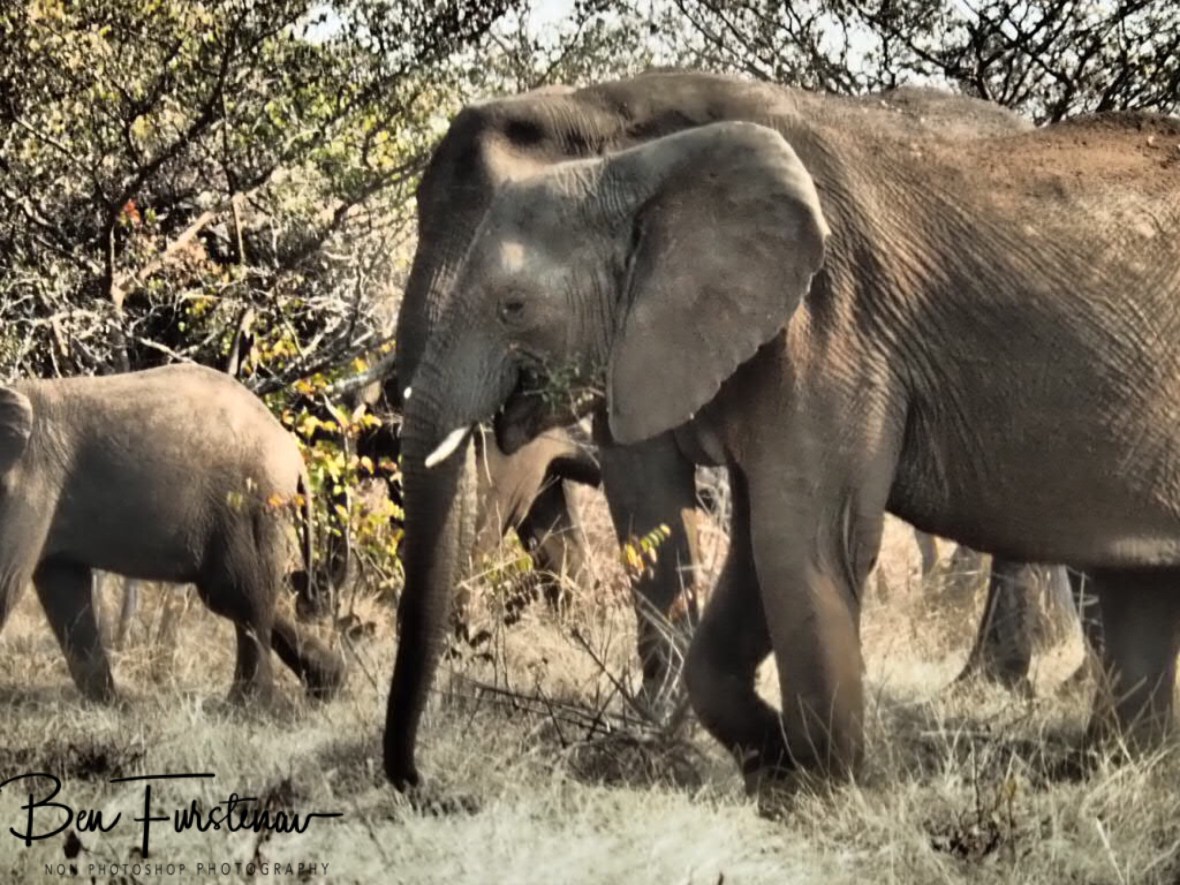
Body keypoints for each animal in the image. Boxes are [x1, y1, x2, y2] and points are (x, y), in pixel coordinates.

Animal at [0, 363, 346, 704]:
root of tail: (294, 455)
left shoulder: (33, 477)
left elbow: (8, 580)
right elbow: (63, 588)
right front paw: (109, 705)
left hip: (250, 505)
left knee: (242, 599)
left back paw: (244, 708)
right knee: (239, 597)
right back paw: (328, 685)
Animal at [384, 68, 1180, 791]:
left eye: (513, 306)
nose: (423, 783)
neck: (608, 133)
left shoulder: (830, 318)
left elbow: (800, 538)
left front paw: (824, 792)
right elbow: (739, 538)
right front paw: (762, 764)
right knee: (1139, 585)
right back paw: (1103, 775)